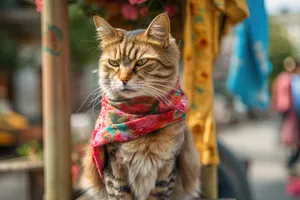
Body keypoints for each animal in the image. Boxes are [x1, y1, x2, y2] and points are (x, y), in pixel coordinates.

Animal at [81, 13, 200, 199]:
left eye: (142, 62)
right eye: (114, 63)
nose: (123, 79)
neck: (140, 118)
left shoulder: (166, 167)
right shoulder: (114, 168)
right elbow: (120, 194)